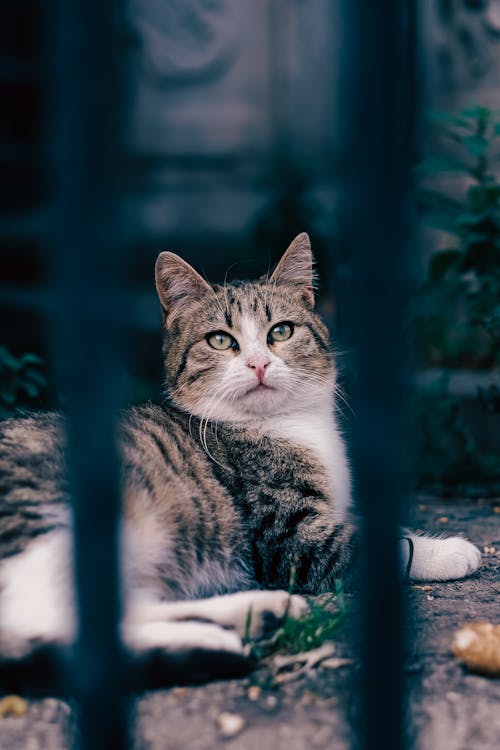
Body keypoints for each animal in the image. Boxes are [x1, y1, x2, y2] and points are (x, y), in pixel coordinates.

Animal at [0, 236, 480, 688]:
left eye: (281, 331)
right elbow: (365, 544)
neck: (286, 425)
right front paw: (450, 550)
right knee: (45, 619)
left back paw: (258, 613)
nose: (258, 363)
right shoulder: (283, 535)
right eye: (219, 340)